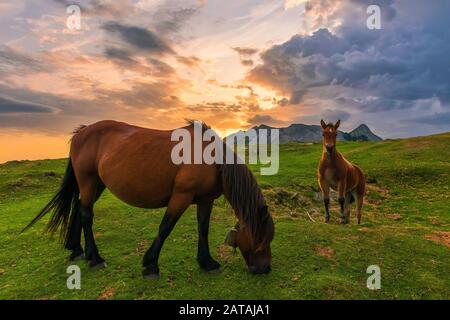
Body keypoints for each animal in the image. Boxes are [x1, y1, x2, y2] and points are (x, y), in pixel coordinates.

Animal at [22, 120, 274, 278]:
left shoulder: (205, 200)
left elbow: (203, 230)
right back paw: (95, 258)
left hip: (97, 184)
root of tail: (81, 133)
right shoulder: (181, 196)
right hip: (88, 180)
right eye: (262, 238)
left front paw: (207, 262)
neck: (212, 158)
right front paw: (151, 265)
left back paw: (77, 249)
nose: (265, 269)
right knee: (86, 215)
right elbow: (165, 228)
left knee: (79, 209)